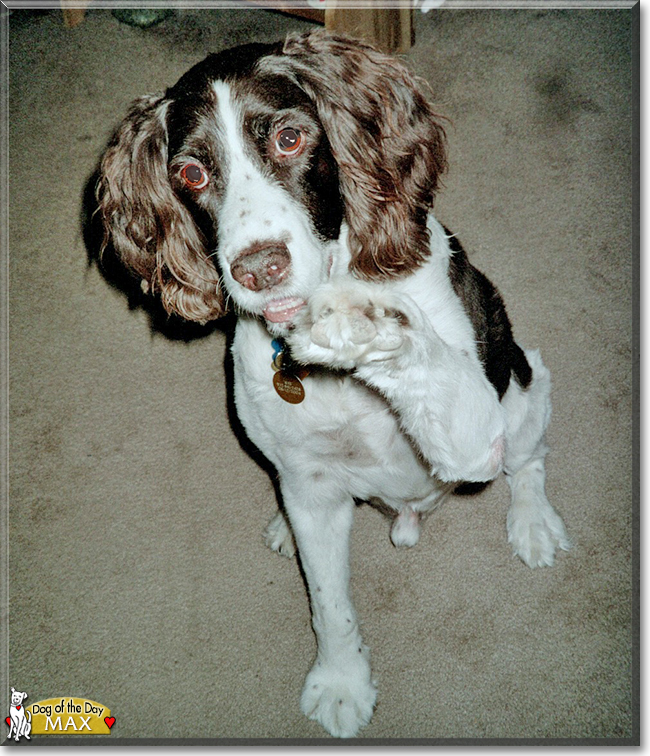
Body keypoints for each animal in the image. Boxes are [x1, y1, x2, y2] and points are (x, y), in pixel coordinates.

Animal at [96, 31, 568, 740]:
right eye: (191, 175)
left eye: (291, 139)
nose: (258, 269)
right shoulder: (313, 487)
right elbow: (329, 603)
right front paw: (342, 683)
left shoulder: (471, 434)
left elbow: (419, 352)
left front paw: (361, 321)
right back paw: (283, 524)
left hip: (521, 386)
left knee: (529, 458)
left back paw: (534, 524)